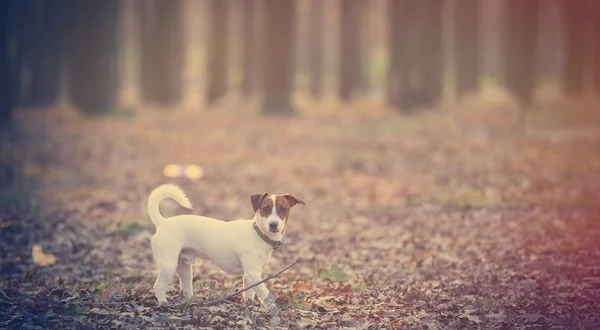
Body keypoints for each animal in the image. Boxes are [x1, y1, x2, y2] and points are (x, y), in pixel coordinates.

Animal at [146, 183, 304, 304]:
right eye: (265, 208)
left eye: (283, 209)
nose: (273, 224)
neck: (258, 233)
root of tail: (162, 223)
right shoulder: (253, 274)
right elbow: (265, 295)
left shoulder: (250, 275)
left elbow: (250, 294)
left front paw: (249, 305)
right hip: (168, 265)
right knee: (158, 286)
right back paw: (164, 304)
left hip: (184, 266)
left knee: (186, 286)